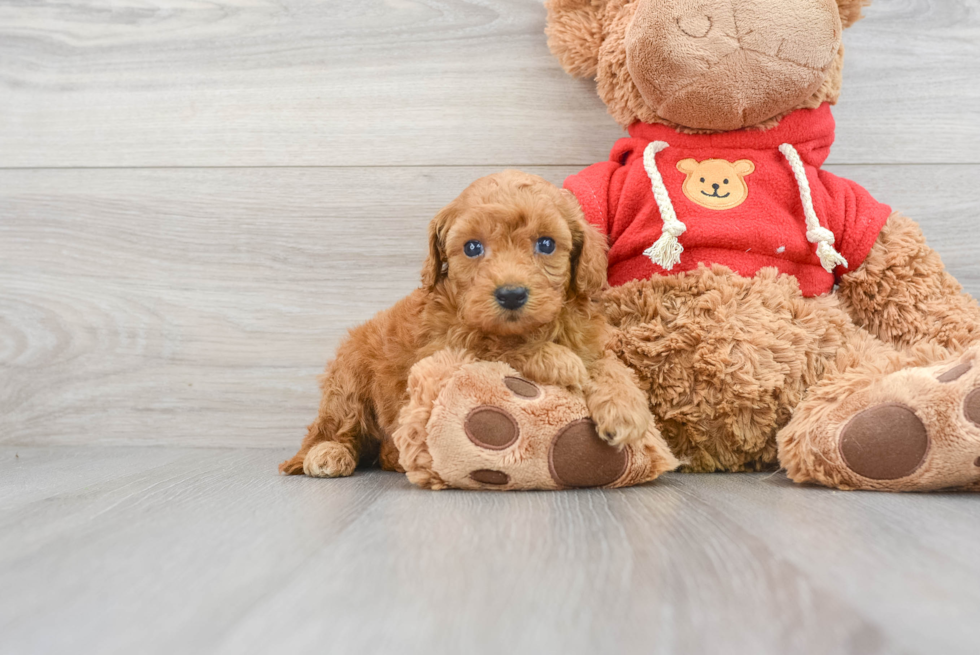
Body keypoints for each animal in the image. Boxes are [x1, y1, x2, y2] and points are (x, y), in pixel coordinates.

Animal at [280, 170, 656, 476]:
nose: (511, 294)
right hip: (348, 382)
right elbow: (495, 344)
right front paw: (558, 360)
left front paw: (625, 408)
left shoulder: (588, 340)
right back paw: (327, 454)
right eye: (473, 247)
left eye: (546, 244)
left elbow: (609, 365)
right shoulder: (442, 348)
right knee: (331, 429)